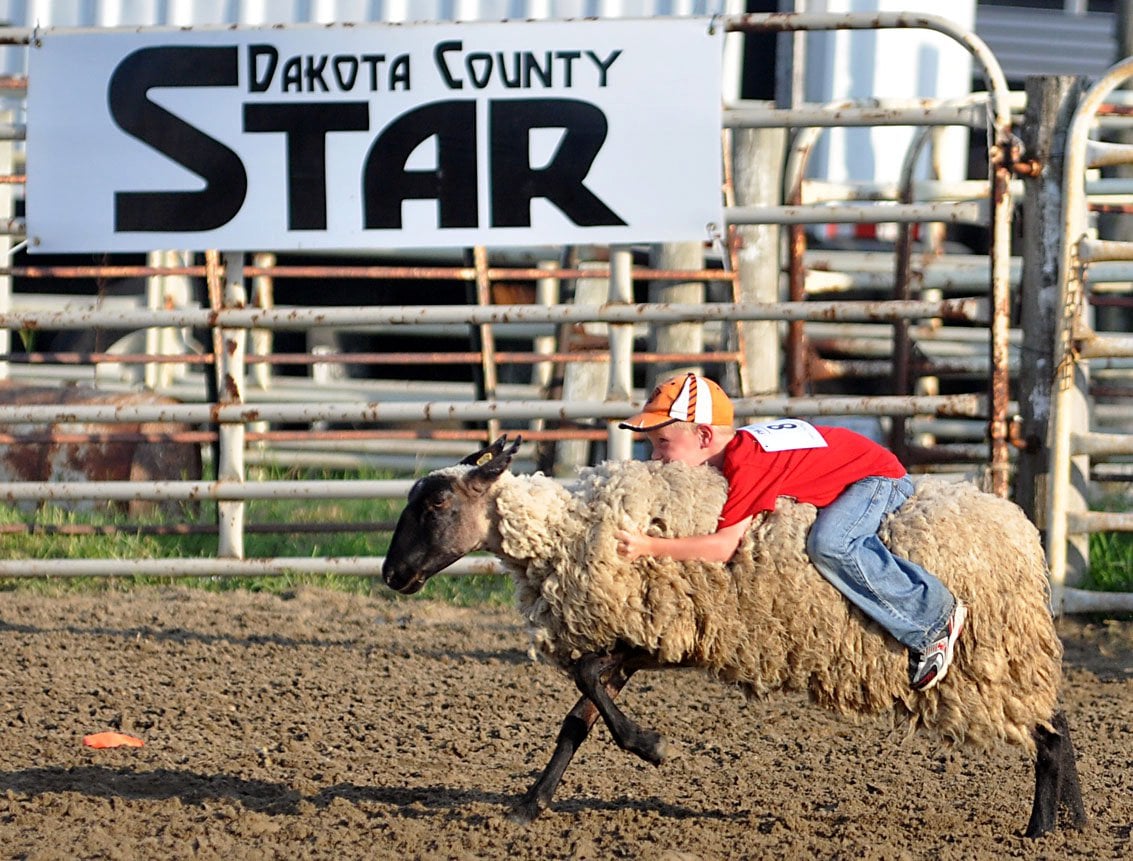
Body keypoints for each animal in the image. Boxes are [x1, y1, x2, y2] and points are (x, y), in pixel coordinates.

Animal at [382, 432, 1087, 838]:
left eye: (436, 504)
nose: (391, 574)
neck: (572, 529)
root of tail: (1023, 534)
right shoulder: (637, 637)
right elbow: (576, 720)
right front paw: (528, 806)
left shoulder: (647, 633)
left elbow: (586, 686)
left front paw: (651, 747)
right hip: (1014, 659)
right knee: (1058, 720)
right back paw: (1076, 820)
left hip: (993, 655)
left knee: (1048, 733)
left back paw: (1039, 830)